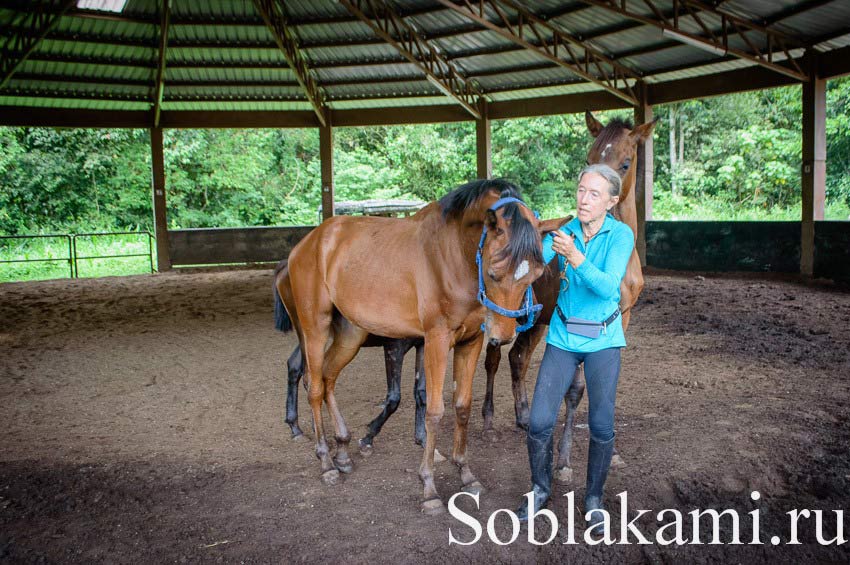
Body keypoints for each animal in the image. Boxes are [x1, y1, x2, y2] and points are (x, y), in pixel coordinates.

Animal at [274, 178, 564, 512]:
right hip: (314, 329)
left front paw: (466, 474)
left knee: (328, 378)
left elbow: (462, 407)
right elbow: (434, 411)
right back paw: (326, 461)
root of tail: (307, 243)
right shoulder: (436, 340)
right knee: (314, 385)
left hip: (349, 335)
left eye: (537, 274)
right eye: (493, 272)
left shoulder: (471, 341)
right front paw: (429, 487)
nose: (503, 335)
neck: (454, 254)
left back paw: (343, 451)